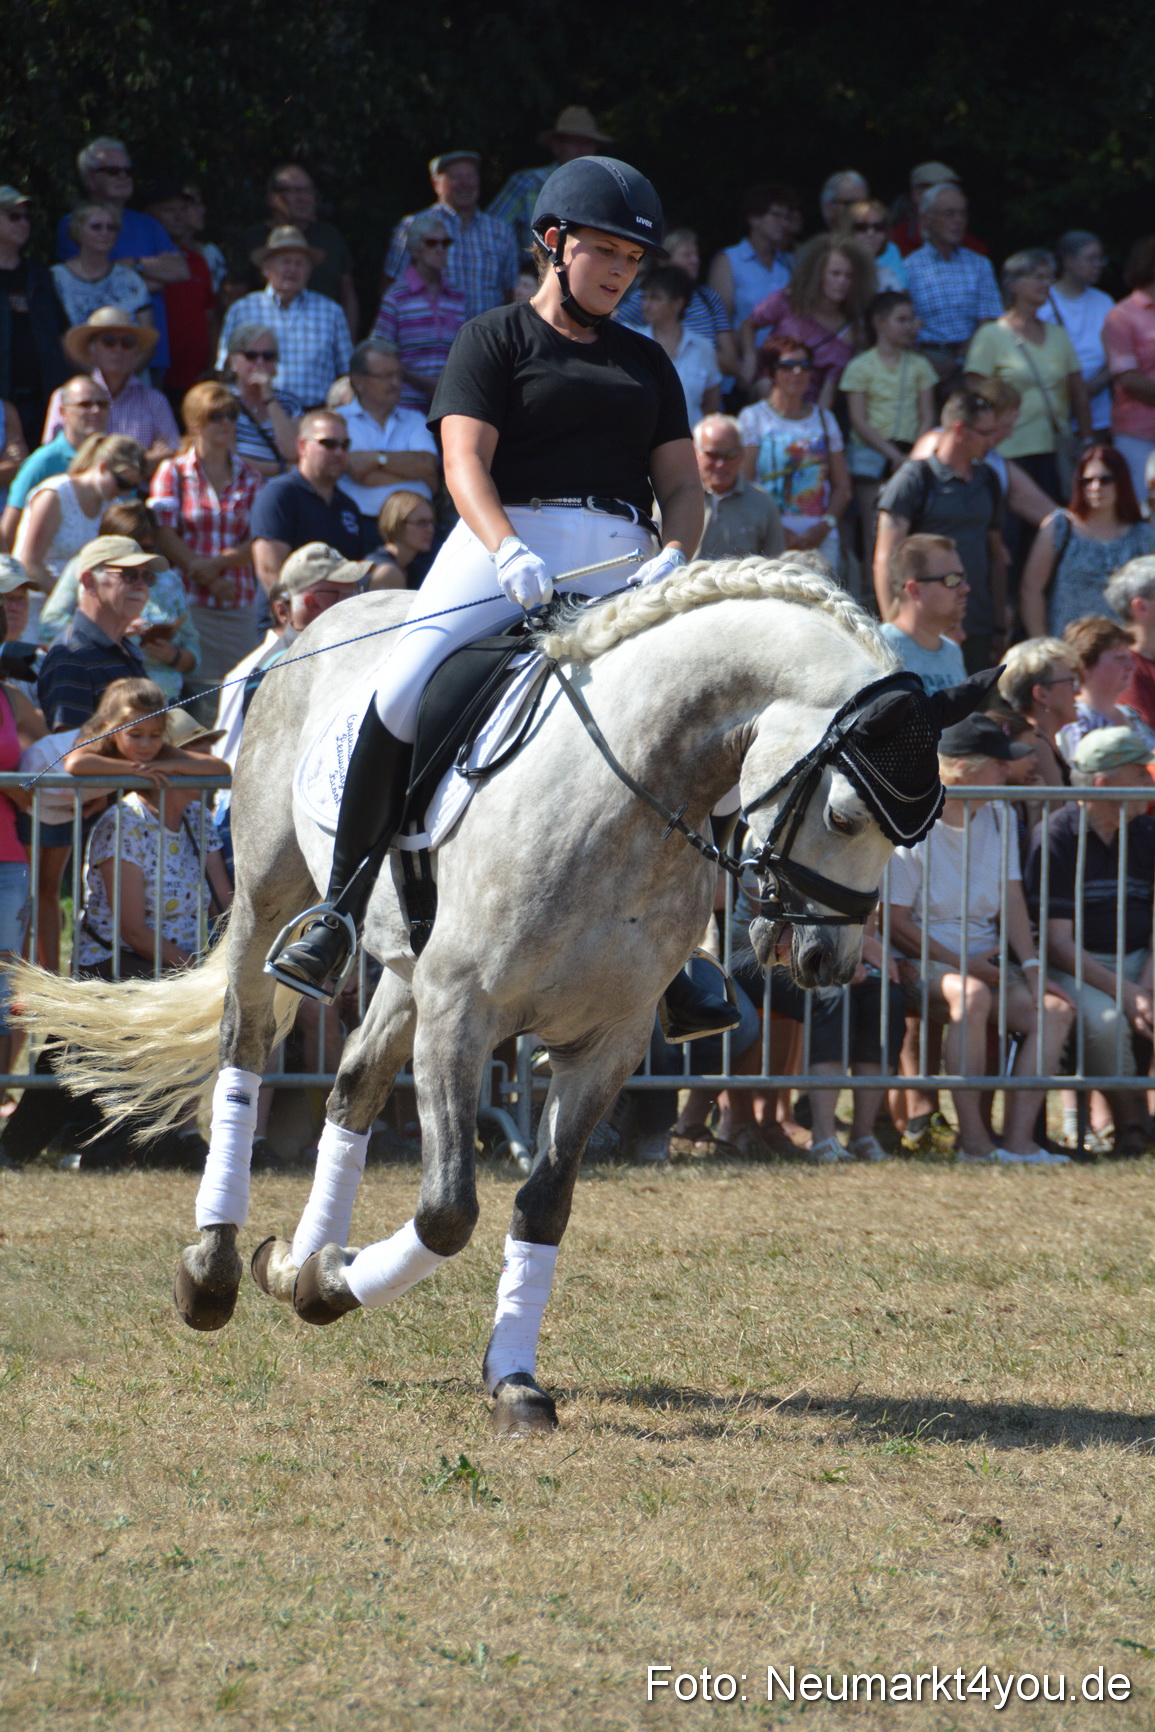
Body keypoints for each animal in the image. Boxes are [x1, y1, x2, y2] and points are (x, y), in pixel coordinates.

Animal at [13, 557, 980, 1434]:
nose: (826, 961)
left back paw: (295, 1257)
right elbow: (447, 1212)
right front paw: (335, 1286)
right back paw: (213, 1268)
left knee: (352, 1086)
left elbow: (541, 1205)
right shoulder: (463, 1015)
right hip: (269, 899)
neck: (620, 796)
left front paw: (499, 1372)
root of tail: (332, 618)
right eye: (845, 816)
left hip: (406, 971)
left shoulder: (606, 1041)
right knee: (245, 1048)